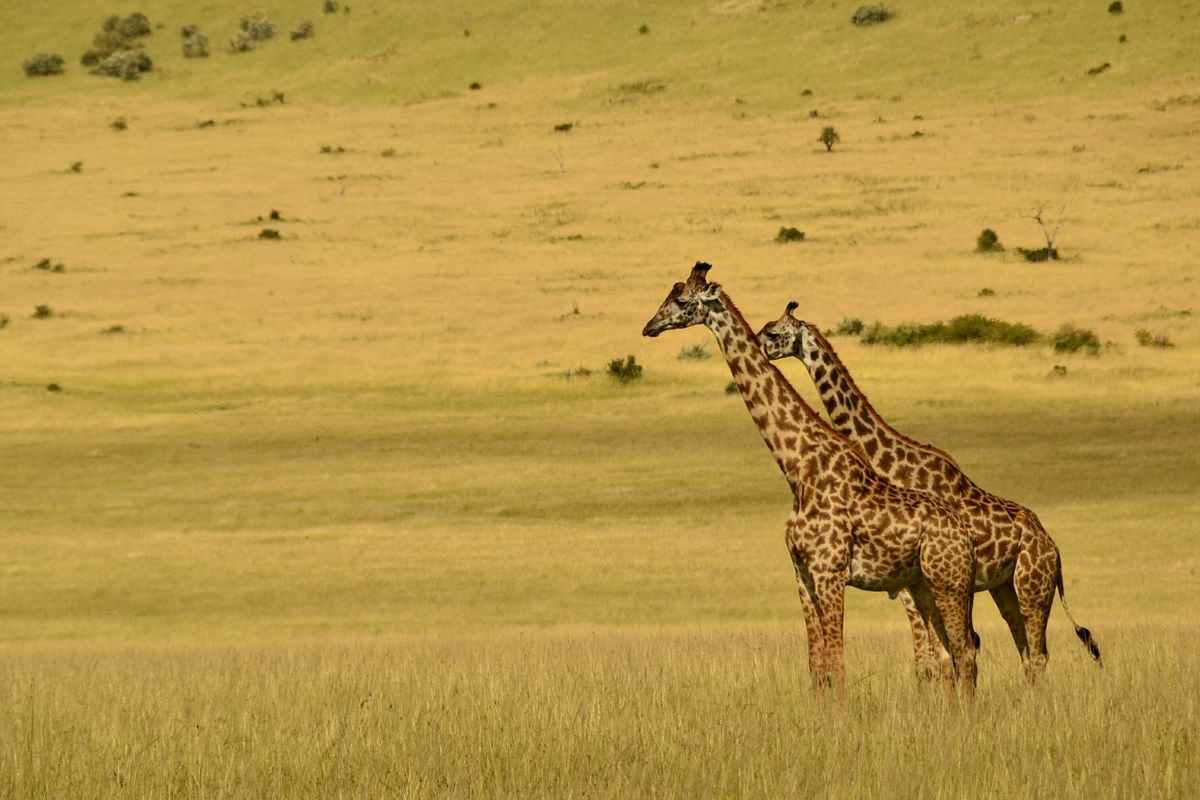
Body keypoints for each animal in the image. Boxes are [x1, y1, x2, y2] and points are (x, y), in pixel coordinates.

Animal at [642, 263, 978, 701]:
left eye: (681, 300)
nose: (649, 327)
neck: (799, 469)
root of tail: (965, 534)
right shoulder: (801, 573)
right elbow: (817, 669)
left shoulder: (829, 570)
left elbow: (838, 666)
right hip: (924, 586)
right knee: (948, 654)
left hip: (948, 583)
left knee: (963, 652)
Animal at [757, 301, 1102, 683]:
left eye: (773, 332)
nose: (759, 347)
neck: (891, 462)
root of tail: (1054, 548)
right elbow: (933, 659)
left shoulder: (916, 581)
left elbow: (937, 658)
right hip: (1003, 587)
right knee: (1025, 649)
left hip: (1031, 587)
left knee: (1033, 651)